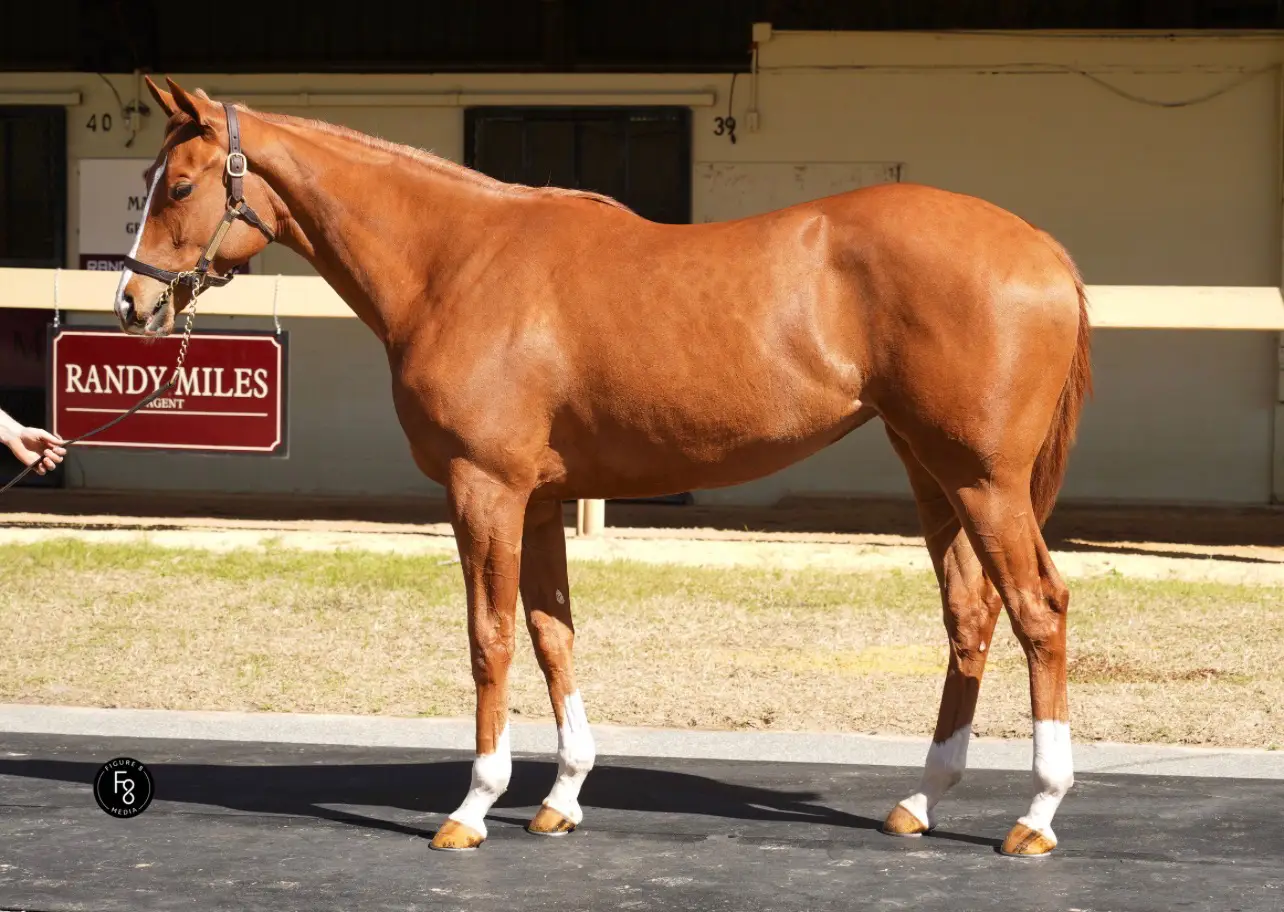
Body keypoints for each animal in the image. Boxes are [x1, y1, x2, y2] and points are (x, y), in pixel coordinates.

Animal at [115, 75, 1092, 858]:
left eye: (182, 185)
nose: (131, 303)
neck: (453, 263)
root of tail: (1043, 248)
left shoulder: (484, 491)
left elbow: (490, 638)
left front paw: (472, 808)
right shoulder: (542, 500)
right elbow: (553, 635)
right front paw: (561, 799)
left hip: (983, 483)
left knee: (1037, 609)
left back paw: (1038, 816)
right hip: (932, 473)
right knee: (970, 616)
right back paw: (919, 802)